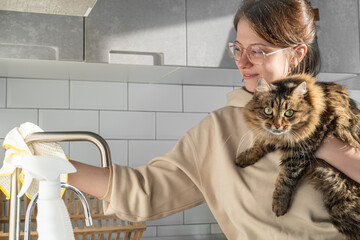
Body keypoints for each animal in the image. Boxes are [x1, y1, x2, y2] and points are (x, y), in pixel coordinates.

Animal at [236, 74, 360, 239]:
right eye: (268, 111)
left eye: (289, 113)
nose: (277, 126)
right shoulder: (275, 138)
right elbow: (259, 144)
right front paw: (244, 158)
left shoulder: (299, 153)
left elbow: (285, 181)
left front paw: (279, 205)